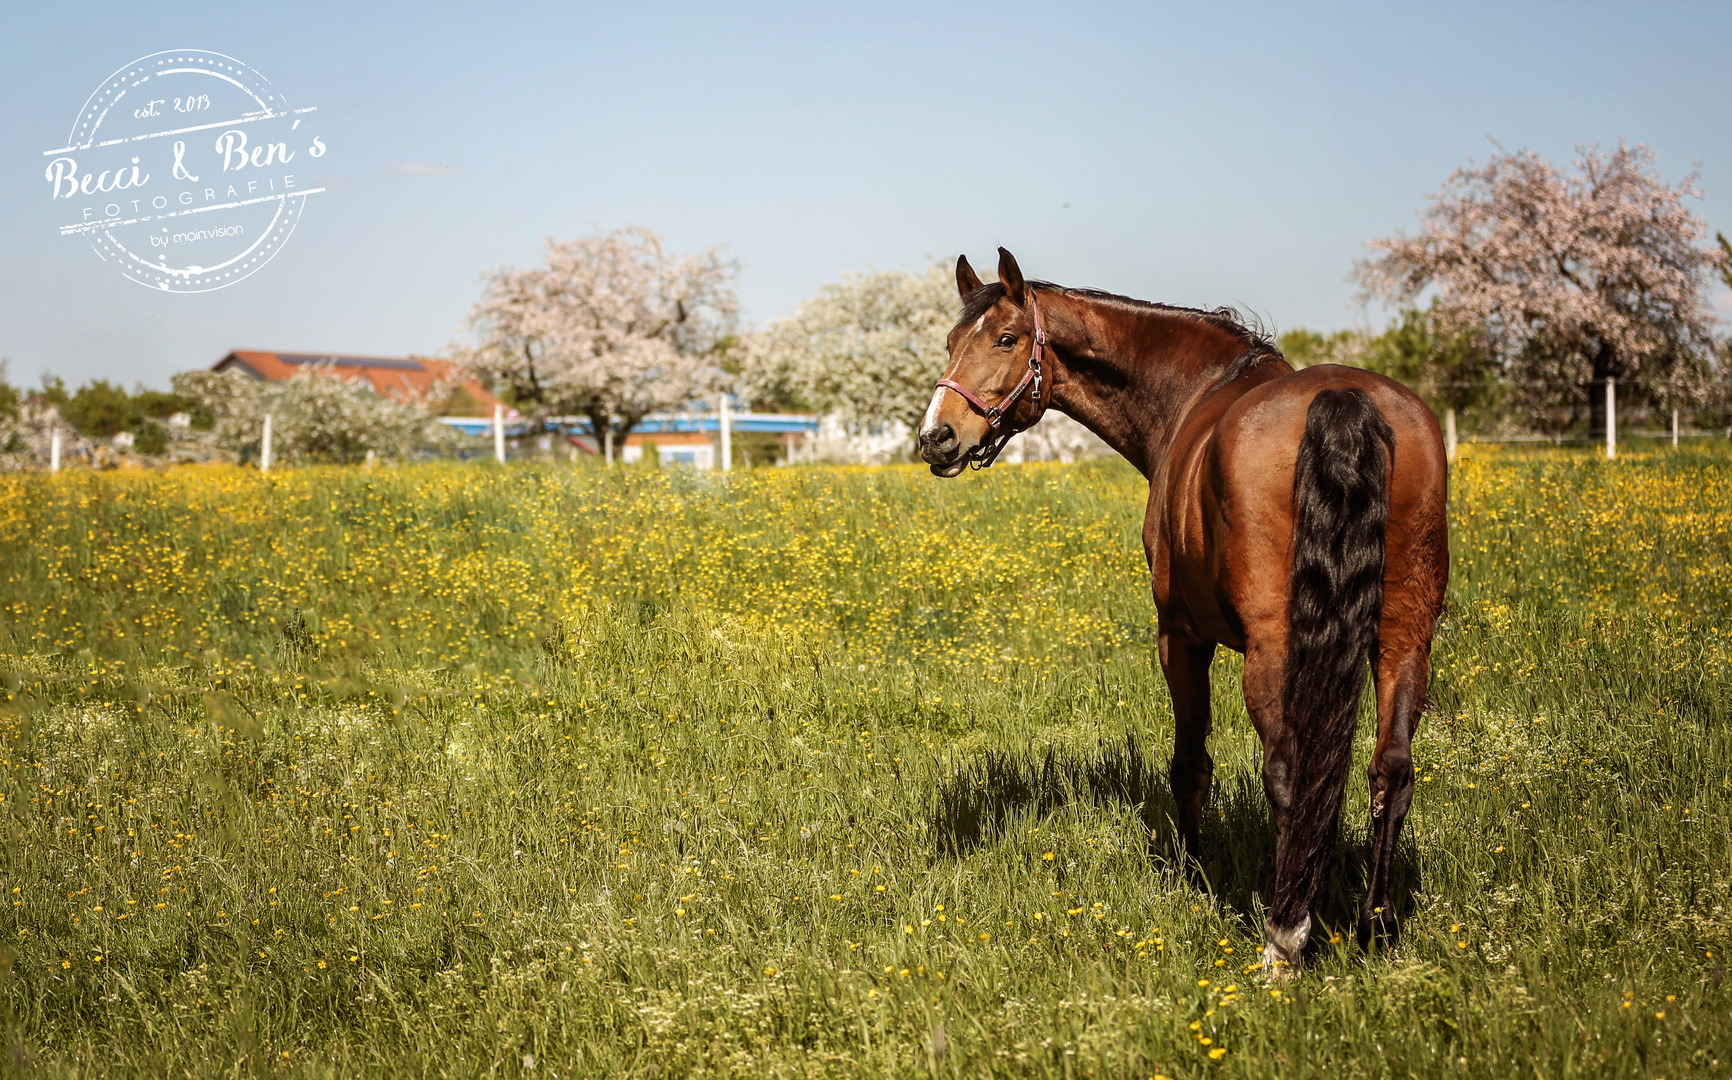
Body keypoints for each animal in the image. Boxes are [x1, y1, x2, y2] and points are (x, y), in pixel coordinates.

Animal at [921, 249, 1447, 976]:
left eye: (1004, 338)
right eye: (950, 342)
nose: (935, 437)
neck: (1195, 394)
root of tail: (1348, 402)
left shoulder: (1179, 638)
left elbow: (1190, 766)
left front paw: (1193, 877)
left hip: (1275, 652)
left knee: (1288, 772)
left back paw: (1284, 936)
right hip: (1404, 639)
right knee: (1390, 770)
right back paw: (1376, 923)